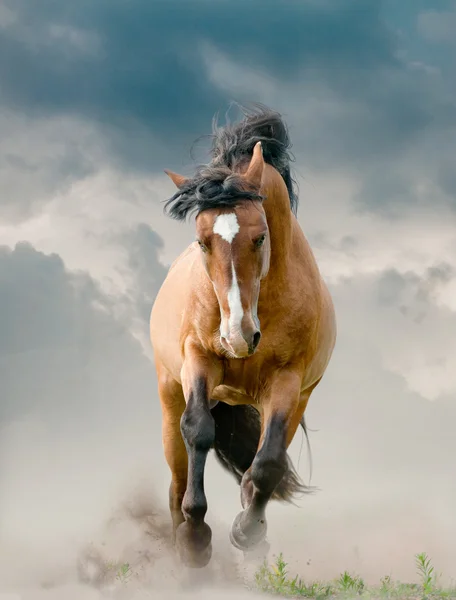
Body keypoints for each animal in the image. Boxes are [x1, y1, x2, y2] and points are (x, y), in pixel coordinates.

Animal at [149, 105, 334, 568]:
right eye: (202, 242)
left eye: (260, 236)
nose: (237, 336)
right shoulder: (198, 360)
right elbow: (199, 430)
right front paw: (197, 539)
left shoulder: (287, 381)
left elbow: (267, 463)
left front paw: (246, 532)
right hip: (169, 395)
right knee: (177, 478)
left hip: (294, 400)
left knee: (263, 463)